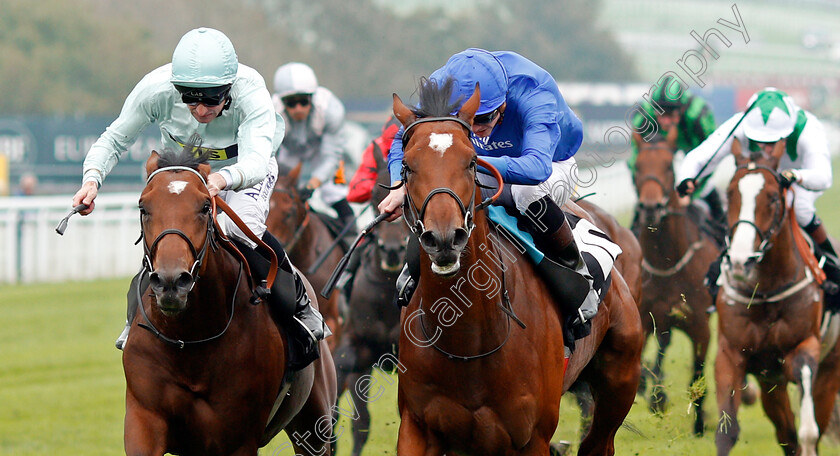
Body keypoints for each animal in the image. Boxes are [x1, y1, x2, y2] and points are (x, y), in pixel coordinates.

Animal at [122, 147, 338, 456]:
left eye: (204, 207)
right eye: (143, 207)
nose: (171, 282)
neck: (190, 341)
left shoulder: (239, 438)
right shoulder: (144, 419)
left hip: (315, 423)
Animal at [394, 78, 644, 456]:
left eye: (471, 161)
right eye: (408, 165)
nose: (444, 239)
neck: (468, 339)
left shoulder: (531, 436)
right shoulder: (417, 426)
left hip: (620, 380)